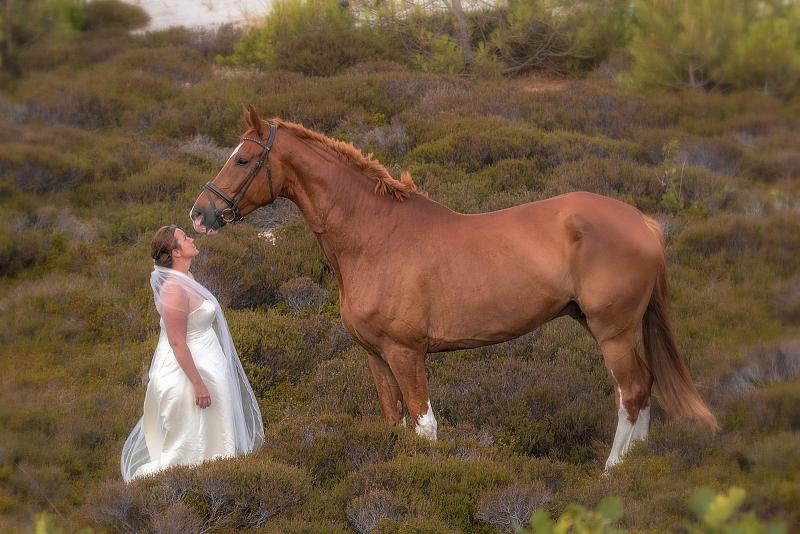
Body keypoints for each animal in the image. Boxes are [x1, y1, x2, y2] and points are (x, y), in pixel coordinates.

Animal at [190, 106, 718, 469]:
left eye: (243, 160)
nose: (200, 213)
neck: (376, 236)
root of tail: (645, 223)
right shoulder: (376, 355)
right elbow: (394, 421)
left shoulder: (406, 353)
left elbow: (424, 425)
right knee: (644, 388)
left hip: (613, 332)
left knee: (631, 392)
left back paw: (612, 473)